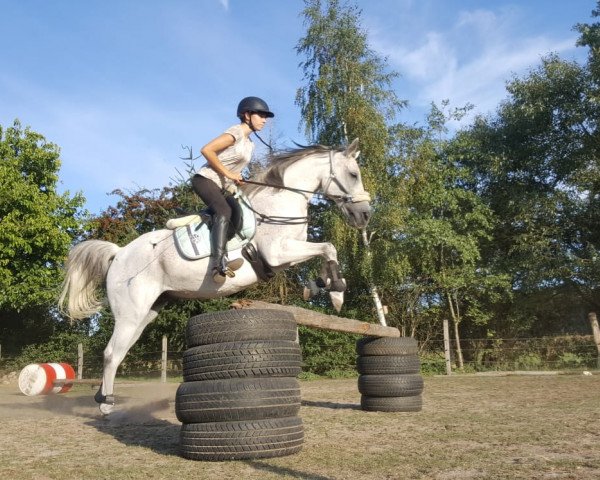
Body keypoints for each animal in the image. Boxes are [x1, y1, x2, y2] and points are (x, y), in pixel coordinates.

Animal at [59, 138, 370, 412]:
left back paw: (103, 397)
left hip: (148, 311)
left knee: (119, 351)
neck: (279, 204)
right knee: (111, 353)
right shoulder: (277, 253)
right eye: (353, 174)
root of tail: (120, 253)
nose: (364, 215)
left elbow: (326, 252)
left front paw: (323, 287)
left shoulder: (285, 257)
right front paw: (337, 291)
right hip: (130, 312)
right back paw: (106, 404)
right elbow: (328, 247)